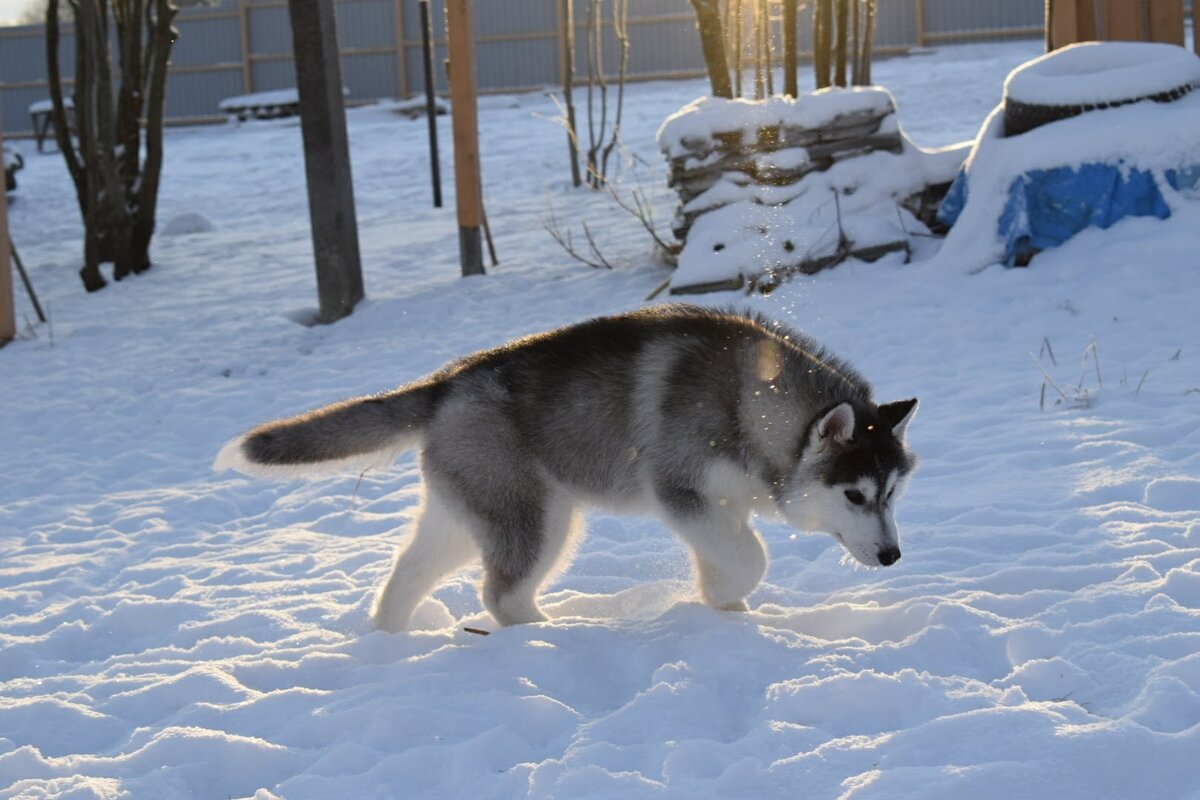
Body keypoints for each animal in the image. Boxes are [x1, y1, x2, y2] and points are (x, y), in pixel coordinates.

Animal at [216, 307, 916, 633]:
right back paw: (554, 632)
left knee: (406, 573)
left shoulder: (719, 508)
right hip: (540, 519)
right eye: (855, 495)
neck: (752, 403)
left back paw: (388, 640)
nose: (891, 557)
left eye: (891, 494)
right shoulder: (680, 489)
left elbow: (732, 555)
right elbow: (752, 556)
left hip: (467, 512)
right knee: (501, 594)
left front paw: (724, 605)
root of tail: (445, 382)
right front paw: (725, 598)